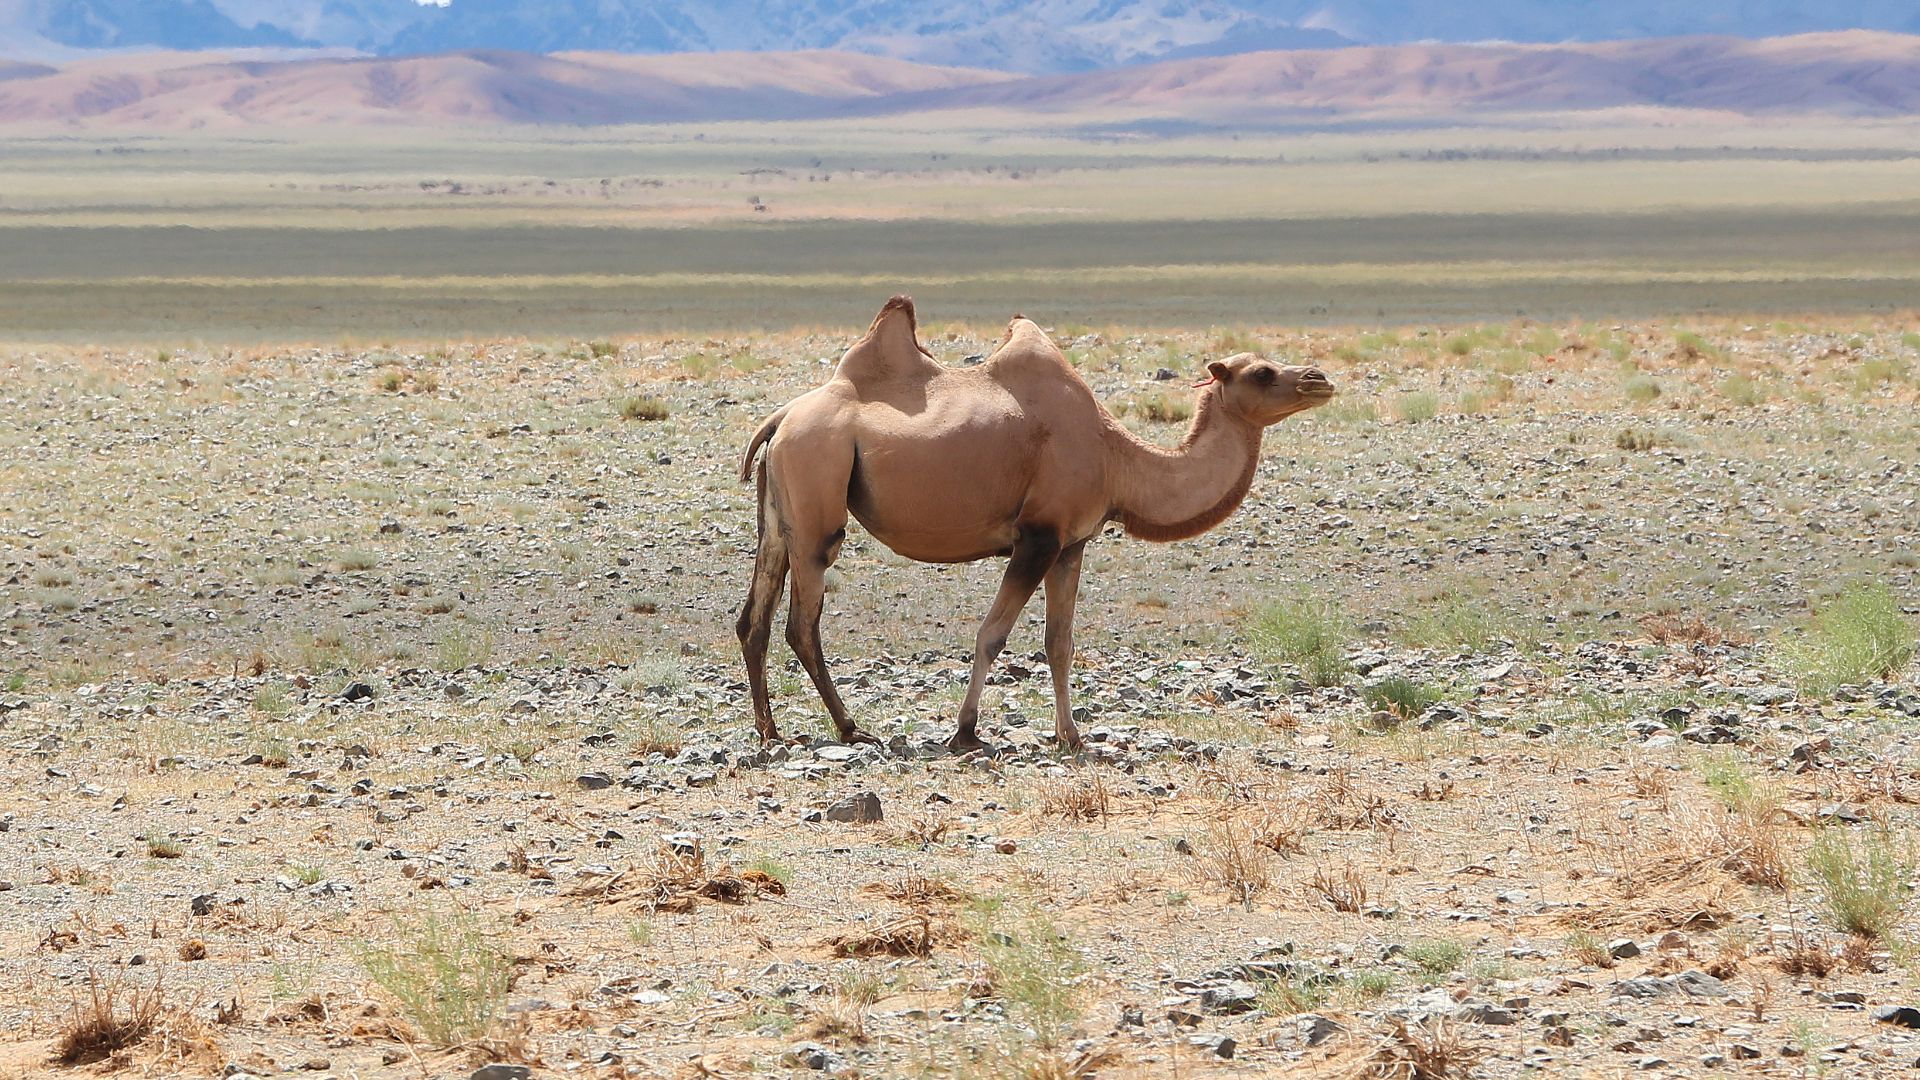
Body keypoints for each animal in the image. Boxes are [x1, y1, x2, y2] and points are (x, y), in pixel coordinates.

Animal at [736, 296, 1335, 751]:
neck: (1116, 457)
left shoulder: (1072, 545)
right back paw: (849, 728)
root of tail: (781, 417)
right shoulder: (1038, 537)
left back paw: (770, 731)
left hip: (780, 513)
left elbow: (1059, 642)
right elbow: (992, 635)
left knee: (754, 617)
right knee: (802, 623)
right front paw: (965, 732)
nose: (1320, 378)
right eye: (1262, 373)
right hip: (818, 491)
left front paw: (1071, 735)